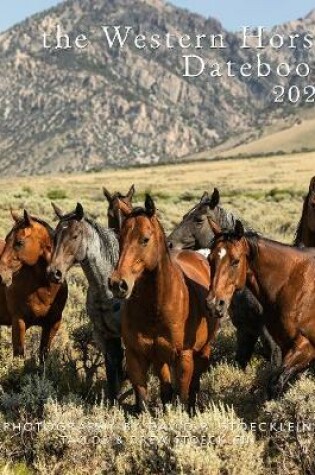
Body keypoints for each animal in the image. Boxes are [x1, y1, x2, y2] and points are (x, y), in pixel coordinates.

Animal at [0, 210, 68, 362]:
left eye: (19, 242)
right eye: (6, 240)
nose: (1, 275)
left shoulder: (52, 324)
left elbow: (44, 356)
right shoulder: (19, 322)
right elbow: (19, 355)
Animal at [48, 203, 124, 404]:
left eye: (75, 236)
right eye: (55, 236)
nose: (54, 272)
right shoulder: (104, 335)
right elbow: (112, 371)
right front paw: (113, 405)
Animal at [110, 195, 218, 414]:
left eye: (145, 239)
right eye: (120, 238)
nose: (118, 284)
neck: (156, 306)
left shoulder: (184, 358)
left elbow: (183, 396)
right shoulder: (136, 356)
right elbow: (143, 400)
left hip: (202, 351)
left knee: (193, 386)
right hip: (160, 358)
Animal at [206, 219, 315, 398]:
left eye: (235, 261)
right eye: (210, 259)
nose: (214, 304)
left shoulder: (306, 346)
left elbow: (276, 383)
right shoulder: (286, 346)